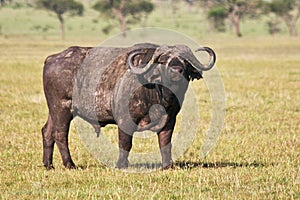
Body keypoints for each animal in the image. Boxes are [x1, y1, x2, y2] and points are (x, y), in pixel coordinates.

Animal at [42, 43, 216, 170]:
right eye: (163, 61)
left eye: (184, 61)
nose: (177, 70)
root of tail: (51, 58)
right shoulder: (125, 120)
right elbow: (125, 143)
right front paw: (121, 165)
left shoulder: (169, 120)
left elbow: (165, 143)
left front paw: (167, 165)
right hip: (62, 108)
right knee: (60, 134)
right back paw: (69, 164)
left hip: (53, 111)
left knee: (47, 132)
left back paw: (48, 164)